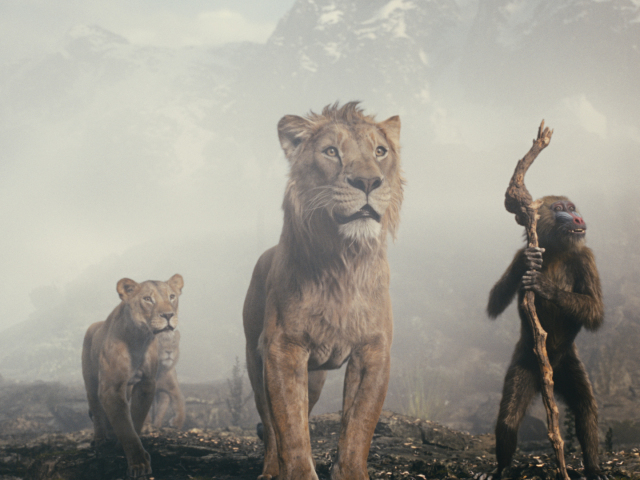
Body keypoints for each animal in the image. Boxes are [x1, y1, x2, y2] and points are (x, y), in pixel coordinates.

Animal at [82, 274, 184, 478]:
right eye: (148, 299)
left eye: (172, 296)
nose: (168, 315)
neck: (139, 339)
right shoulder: (111, 388)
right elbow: (125, 426)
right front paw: (139, 464)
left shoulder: (146, 384)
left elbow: (135, 419)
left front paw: (126, 448)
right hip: (90, 381)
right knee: (96, 409)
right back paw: (100, 439)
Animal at [243, 102, 403, 480]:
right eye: (331, 152)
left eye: (380, 151)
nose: (368, 181)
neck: (344, 261)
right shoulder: (283, 349)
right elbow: (291, 429)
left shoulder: (373, 351)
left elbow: (358, 426)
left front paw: (350, 471)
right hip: (255, 359)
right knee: (270, 425)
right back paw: (270, 469)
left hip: (314, 377)